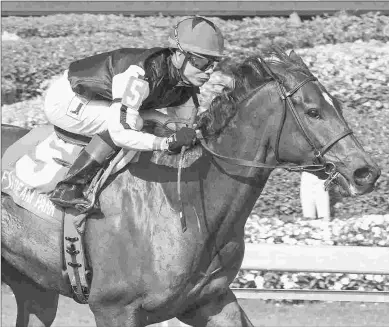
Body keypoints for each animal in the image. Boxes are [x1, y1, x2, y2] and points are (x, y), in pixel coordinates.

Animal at [2, 48, 378, 327]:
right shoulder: (114, 308)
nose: (366, 172)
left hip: (34, 286)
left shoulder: (209, 300)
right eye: (313, 112)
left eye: (338, 106)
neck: (192, 202)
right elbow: (123, 124)